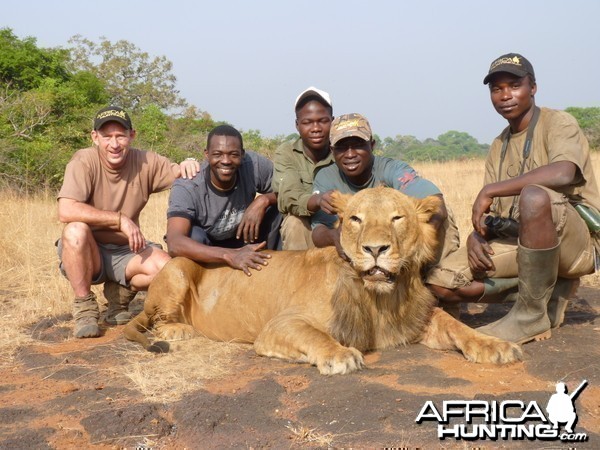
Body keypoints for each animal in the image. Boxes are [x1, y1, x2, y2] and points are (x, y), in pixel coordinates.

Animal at [124, 185, 524, 372]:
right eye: (356, 219)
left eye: (397, 218)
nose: (375, 249)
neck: (380, 294)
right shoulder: (279, 326)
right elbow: (315, 336)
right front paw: (339, 355)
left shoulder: (415, 318)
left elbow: (458, 328)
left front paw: (496, 346)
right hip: (177, 268)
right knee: (155, 319)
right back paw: (178, 330)